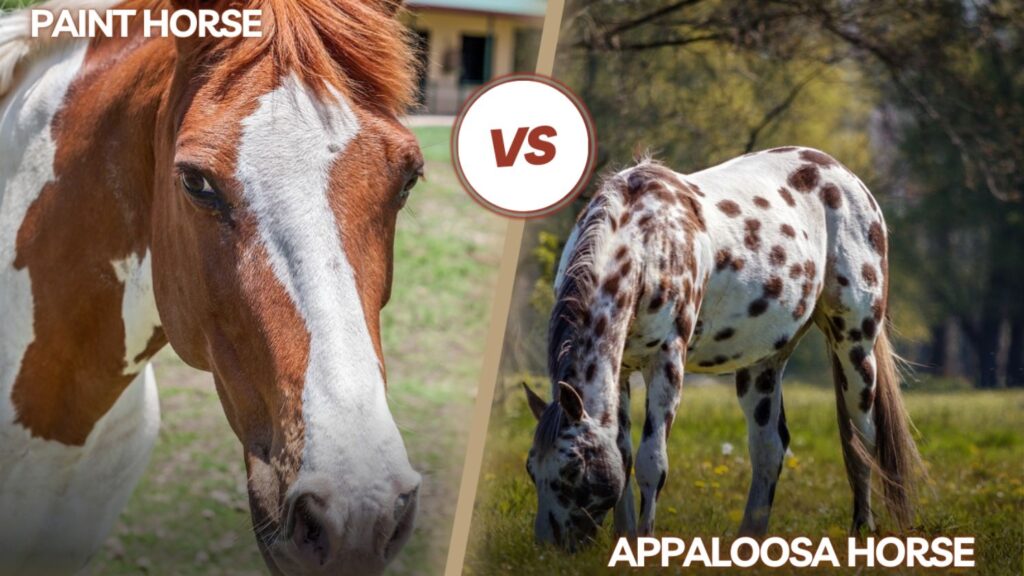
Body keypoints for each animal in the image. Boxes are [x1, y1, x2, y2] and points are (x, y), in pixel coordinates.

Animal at [521, 148, 924, 550]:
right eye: (531, 468)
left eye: (573, 467)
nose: (548, 547)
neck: (646, 242)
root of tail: (845, 176)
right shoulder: (621, 370)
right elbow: (623, 455)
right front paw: (625, 539)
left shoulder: (667, 361)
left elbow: (652, 462)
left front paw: (644, 546)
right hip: (763, 363)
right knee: (768, 449)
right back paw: (750, 541)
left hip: (854, 345)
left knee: (862, 439)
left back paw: (863, 529)